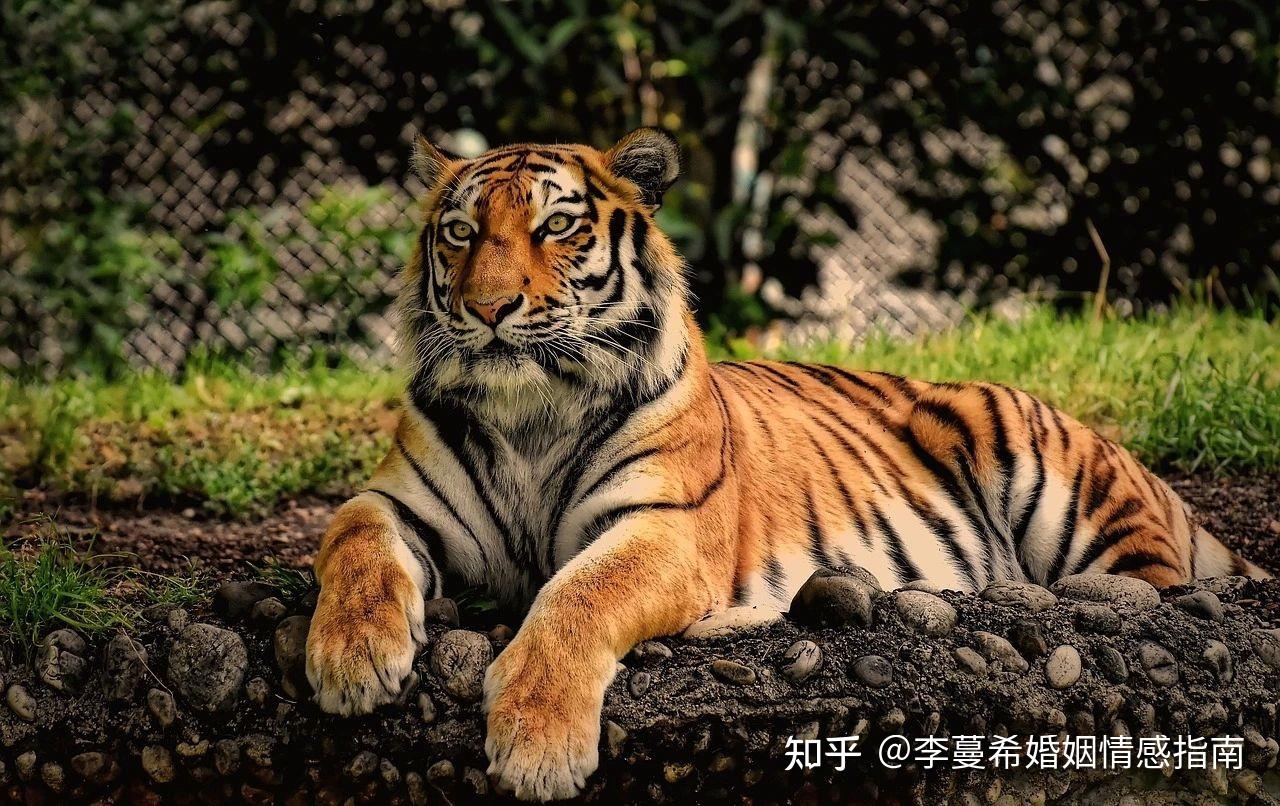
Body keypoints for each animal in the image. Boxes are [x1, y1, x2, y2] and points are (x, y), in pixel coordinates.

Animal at [304, 127, 1269, 800]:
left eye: (558, 227)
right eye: (461, 233)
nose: (489, 308)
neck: (531, 411)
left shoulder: (664, 528)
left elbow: (576, 596)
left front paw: (536, 746)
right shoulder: (399, 500)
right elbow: (352, 542)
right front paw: (351, 662)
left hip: (1062, 483)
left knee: (1153, 590)